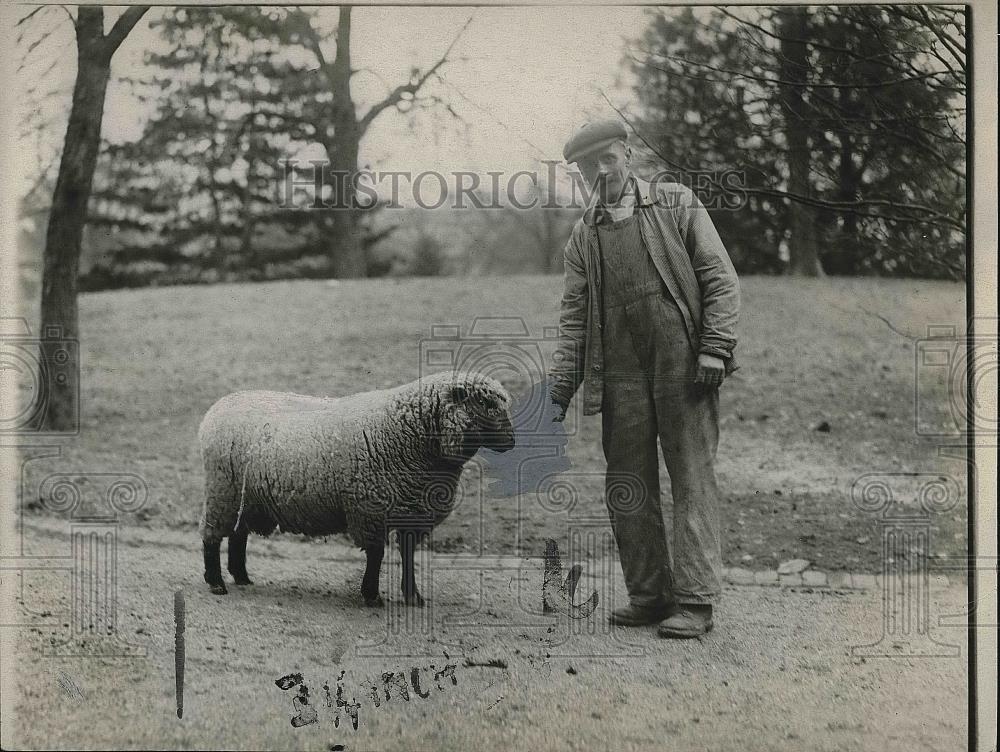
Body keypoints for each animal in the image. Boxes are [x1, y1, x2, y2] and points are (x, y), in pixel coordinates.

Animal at [196, 374, 516, 608]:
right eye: (484, 403)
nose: (512, 442)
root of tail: (217, 407)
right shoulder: (370, 509)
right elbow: (376, 554)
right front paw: (372, 596)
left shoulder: (412, 513)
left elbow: (408, 556)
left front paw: (413, 597)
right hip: (222, 490)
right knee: (212, 536)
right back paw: (216, 582)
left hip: (246, 497)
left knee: (238, 534)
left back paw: (241, 576)